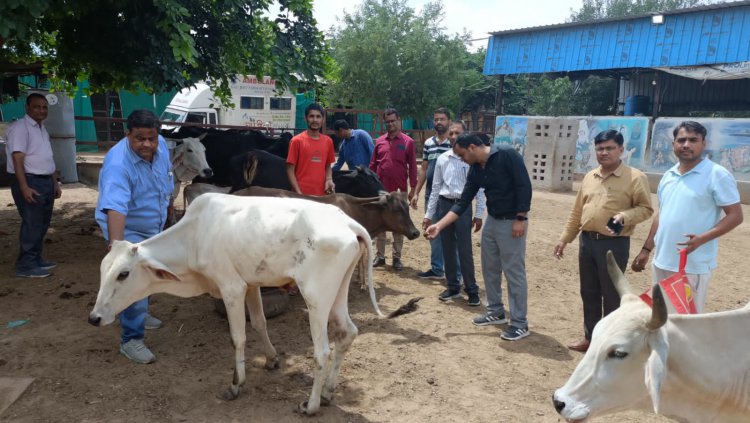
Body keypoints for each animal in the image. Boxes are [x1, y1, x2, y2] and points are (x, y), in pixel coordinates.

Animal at [89, 194, 388, 416]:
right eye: (103, 270)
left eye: (123, 274)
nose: (94, 317)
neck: (194, 235)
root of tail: (349, 224)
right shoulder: (251, 285)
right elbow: (258, 322)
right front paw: (271, 360)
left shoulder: (231, 288)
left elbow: (238, 337)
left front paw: (236, 384)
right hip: (338, 291)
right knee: (347, 332)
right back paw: (327, 393)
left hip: (316, 296)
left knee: (322, 350)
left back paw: (312, 404)